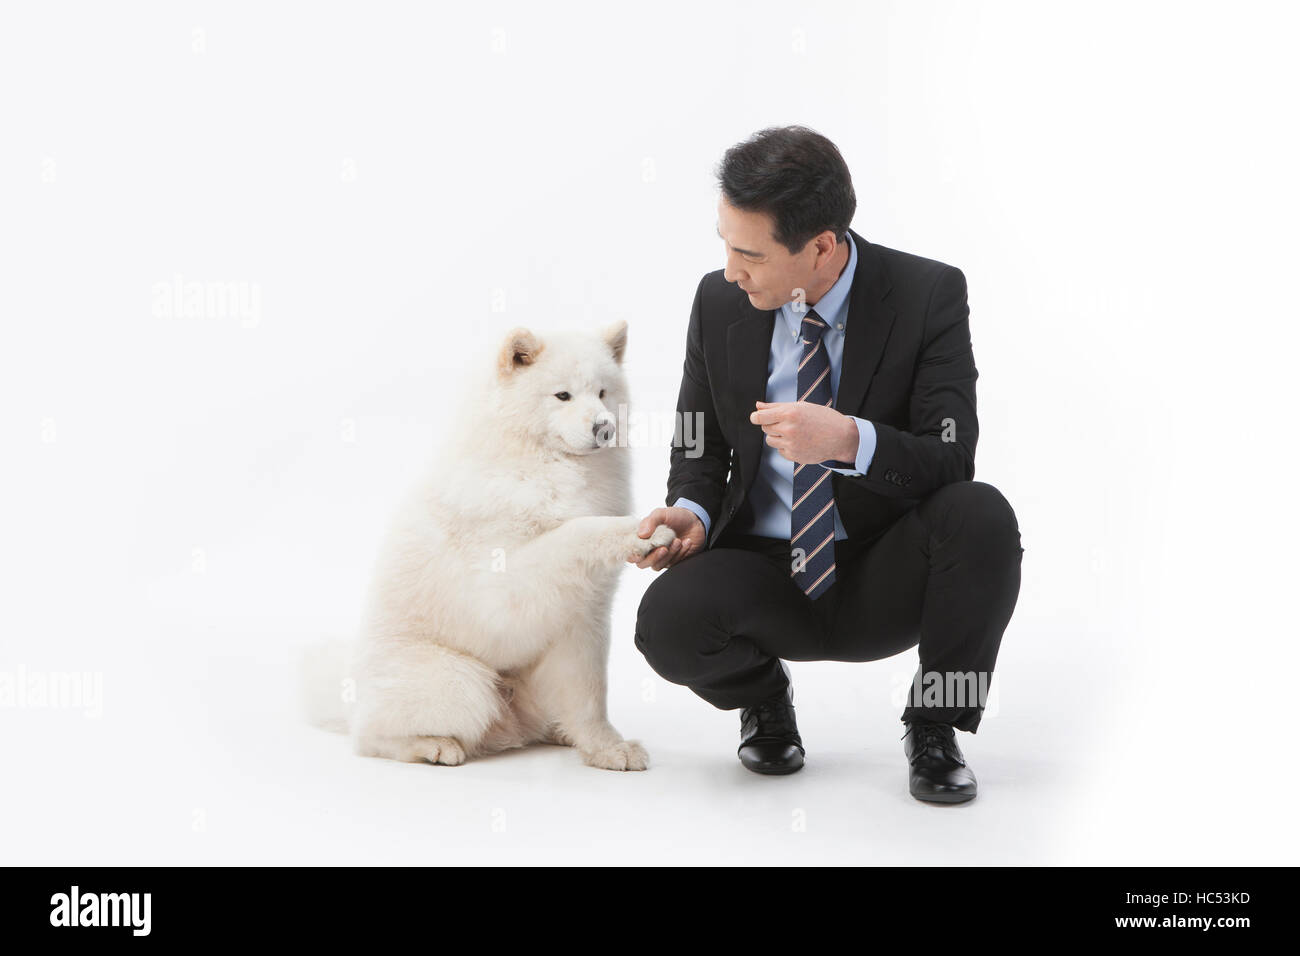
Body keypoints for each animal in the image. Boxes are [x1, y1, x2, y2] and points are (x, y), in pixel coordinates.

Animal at [300, 321, 676, 770]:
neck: (543, 465)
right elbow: (576, 532)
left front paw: (607, 749)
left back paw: (558, 733)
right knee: (370, 737)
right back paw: (433, 746)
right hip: (462, 683)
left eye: (603, 392)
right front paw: (642, 531)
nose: (604, 427)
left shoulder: (585, 619)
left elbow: (590, 697)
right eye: (562, 395)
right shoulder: (502, 590)